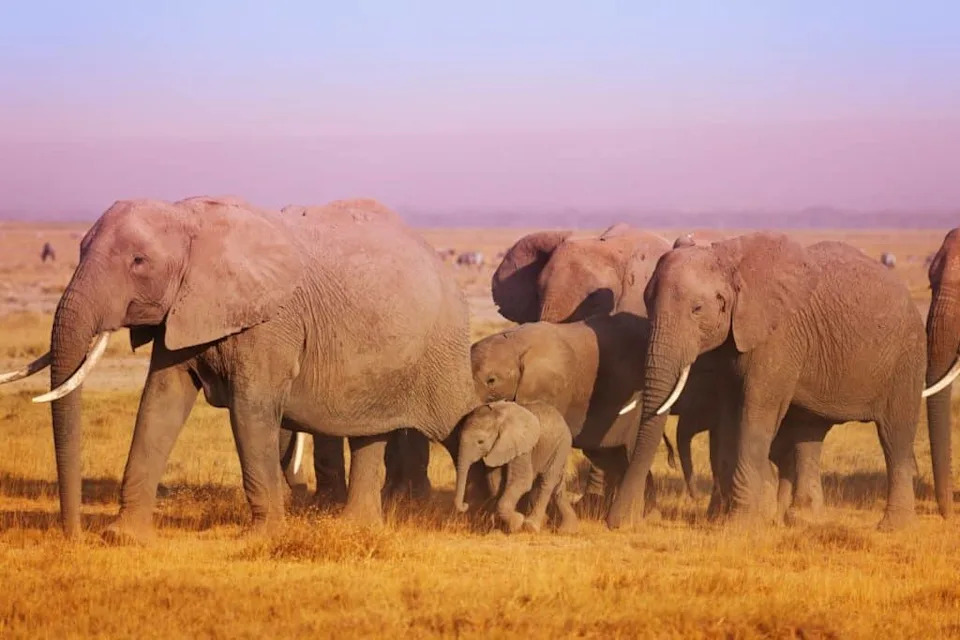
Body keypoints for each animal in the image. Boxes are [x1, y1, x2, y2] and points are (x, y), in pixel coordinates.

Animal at [0, 196, 478, 542]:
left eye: (138, 262)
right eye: (79, 249)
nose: (75, 535)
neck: (188, 218)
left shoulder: (270, 322)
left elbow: (250, 411)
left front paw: (261, 539)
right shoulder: (185, 311)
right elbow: (159, 402)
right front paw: (123, 538)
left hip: (442, 347)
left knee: (461, 420)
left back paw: (483, 519)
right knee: (369, 433)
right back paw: (356, 528)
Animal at [454, 400, 578, 534]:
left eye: (480, 442)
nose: (465, 505)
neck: (499, 418)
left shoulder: (522, 447)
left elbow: (522, 481)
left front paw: (517, 522)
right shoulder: (497, 449)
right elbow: (495, 483)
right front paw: (498, 529)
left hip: (561, 445)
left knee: (547, 481)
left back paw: (531, 526)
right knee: (558, 485)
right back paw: (567, 529)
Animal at [607, 232, 934, 531]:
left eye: (697, 309)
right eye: (647, 302)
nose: (621, 523)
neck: (726, 256)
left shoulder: (778, 337)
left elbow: (755, 414)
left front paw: (741, 525)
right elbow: (730, 417)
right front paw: (736, 519)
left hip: (907, 353)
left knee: (895, 435)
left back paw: (894, 527)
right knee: (809, 434)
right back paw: (801, 519)